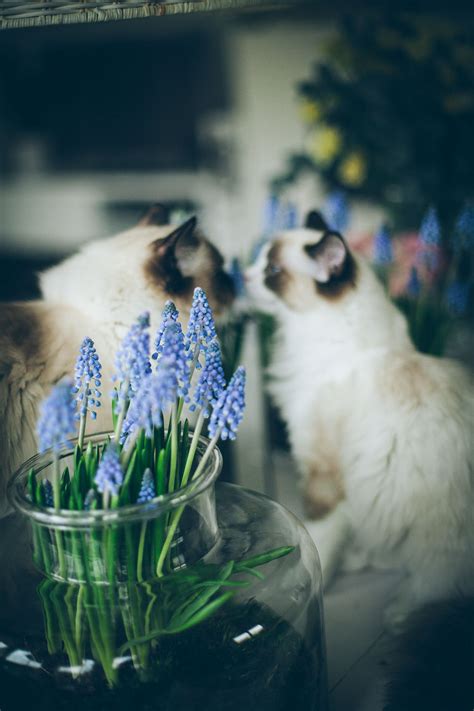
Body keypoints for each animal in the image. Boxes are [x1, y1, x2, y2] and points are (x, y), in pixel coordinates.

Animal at [246, 210, 474, 624]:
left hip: (437, 538)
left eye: (271, 270)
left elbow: (319, 537)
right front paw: (355, 559)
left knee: (434, 582)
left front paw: (317, 576)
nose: (243, 274)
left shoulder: (323, 476)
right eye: (259, 261)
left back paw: (400, 612)